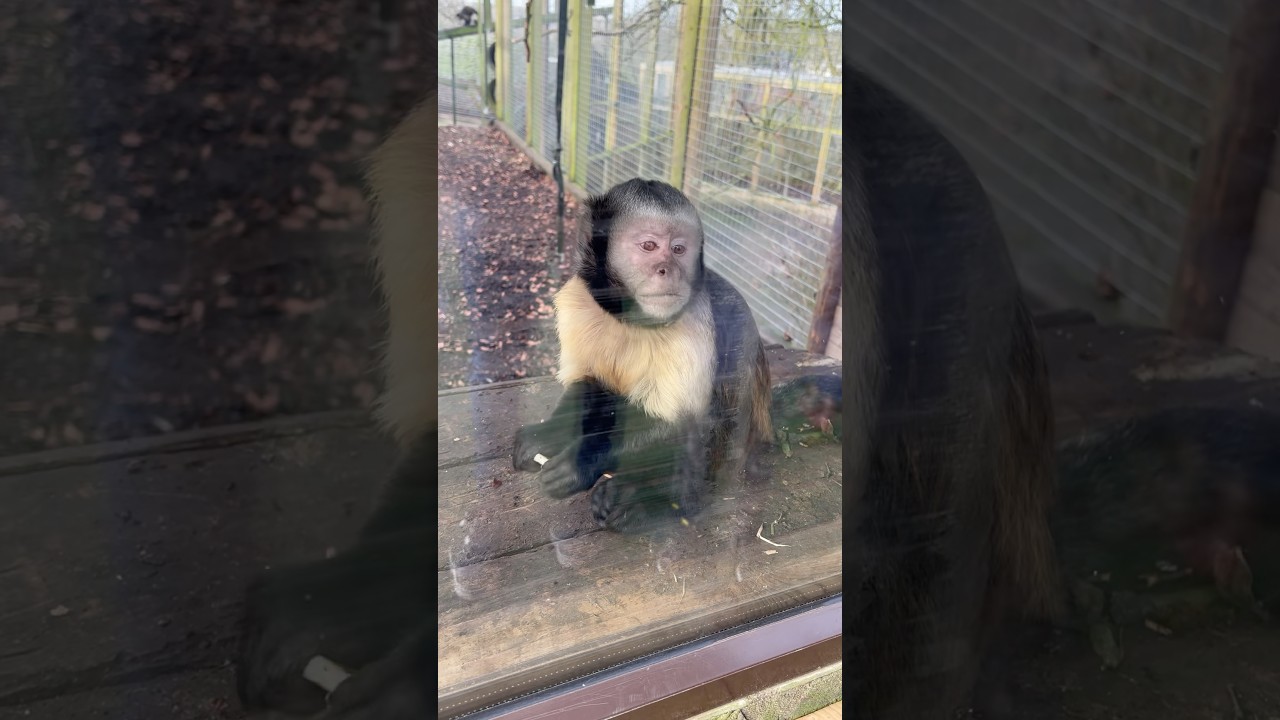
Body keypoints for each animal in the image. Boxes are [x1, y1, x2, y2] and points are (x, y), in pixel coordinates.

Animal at [511, 178, 774, 535]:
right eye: (649, 246)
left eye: (679, 249)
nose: (668, 270)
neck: (631, 318)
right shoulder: (579, 300)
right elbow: (589, 382)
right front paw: (550, 433)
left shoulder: (696, 319)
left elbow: (683, 422)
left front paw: (582, 463)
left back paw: (651, 504)